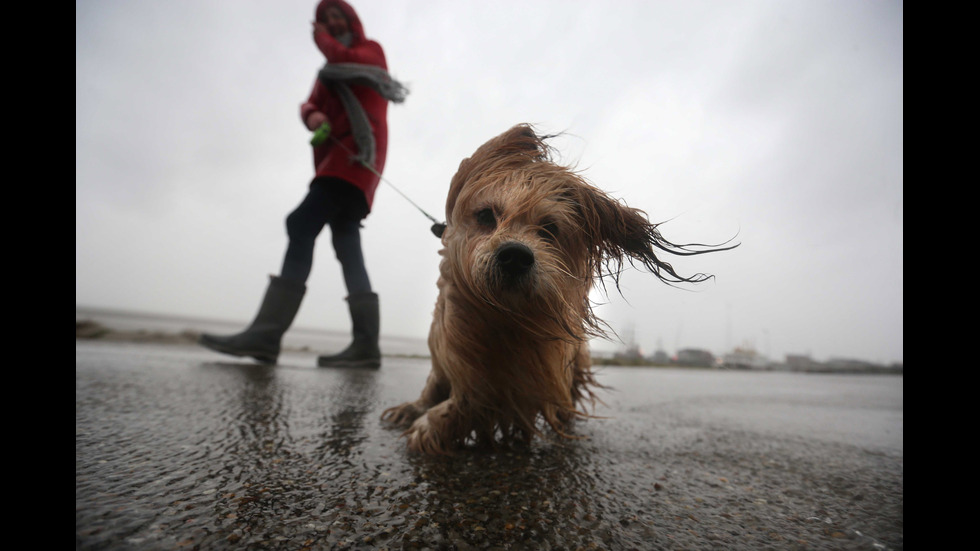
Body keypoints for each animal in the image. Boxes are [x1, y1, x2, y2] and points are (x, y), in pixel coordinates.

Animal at [378, 126, 732, 458]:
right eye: (485, 215)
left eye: (549, 229)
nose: (515, 256)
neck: (499, 319)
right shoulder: (450, 351)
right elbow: (436, 385)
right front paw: (414, 410)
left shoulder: (518, 378)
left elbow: (469, 401)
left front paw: (427, 427)